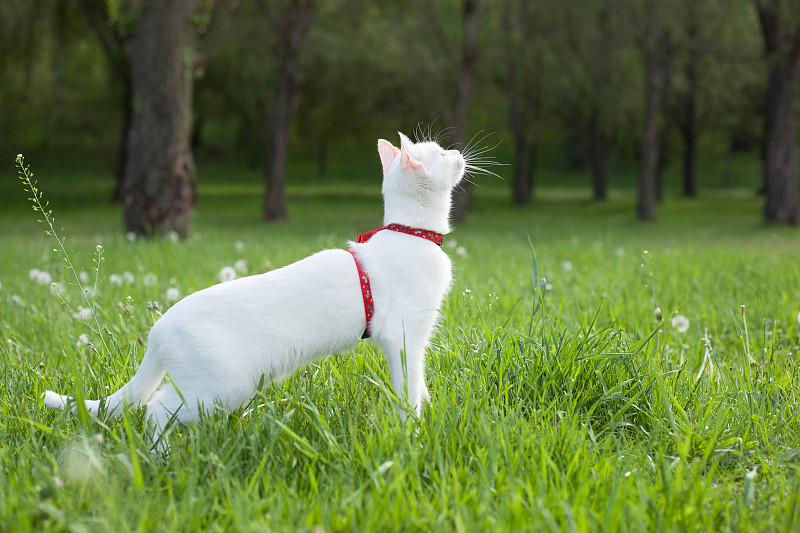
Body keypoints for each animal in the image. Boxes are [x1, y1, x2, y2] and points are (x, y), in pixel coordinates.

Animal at [43, 131, 466, 450]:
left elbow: (419, 387)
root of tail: (157, 330)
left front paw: (423, 419)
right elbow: (409, 390)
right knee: (155, 409)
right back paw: (161, 457)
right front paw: (413, 433)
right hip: (221, 388)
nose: (459, 151)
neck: (412, 233)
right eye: (442, 153)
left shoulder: (413, 339)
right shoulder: (403, 336)